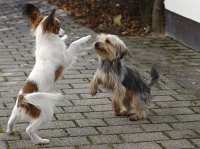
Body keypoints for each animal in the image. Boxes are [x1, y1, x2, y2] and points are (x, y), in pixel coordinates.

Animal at [6, 3, 91, 144]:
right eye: (58, 27)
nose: (64, 32)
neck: (46, 40)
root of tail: (23, 99)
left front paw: (65, 38)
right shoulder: (66, 59)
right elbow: (74, 44)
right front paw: (85, 38)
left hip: (15, 112)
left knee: (10, 121)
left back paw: (10, 131)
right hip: (45, 113)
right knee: (29, 129)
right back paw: (40, 141)